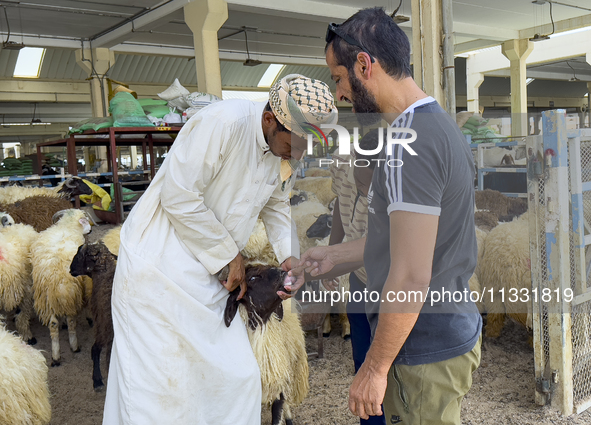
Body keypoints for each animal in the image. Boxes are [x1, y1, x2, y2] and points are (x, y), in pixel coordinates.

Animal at [30, 209, 92, 364]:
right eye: (85, 220)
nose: (91, 230)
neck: (67, 226)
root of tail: (58, 282)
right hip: (72, 295)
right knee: (71, 320)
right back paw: (74, 346)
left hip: (46, 299)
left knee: (53, 324)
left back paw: (56, 356)